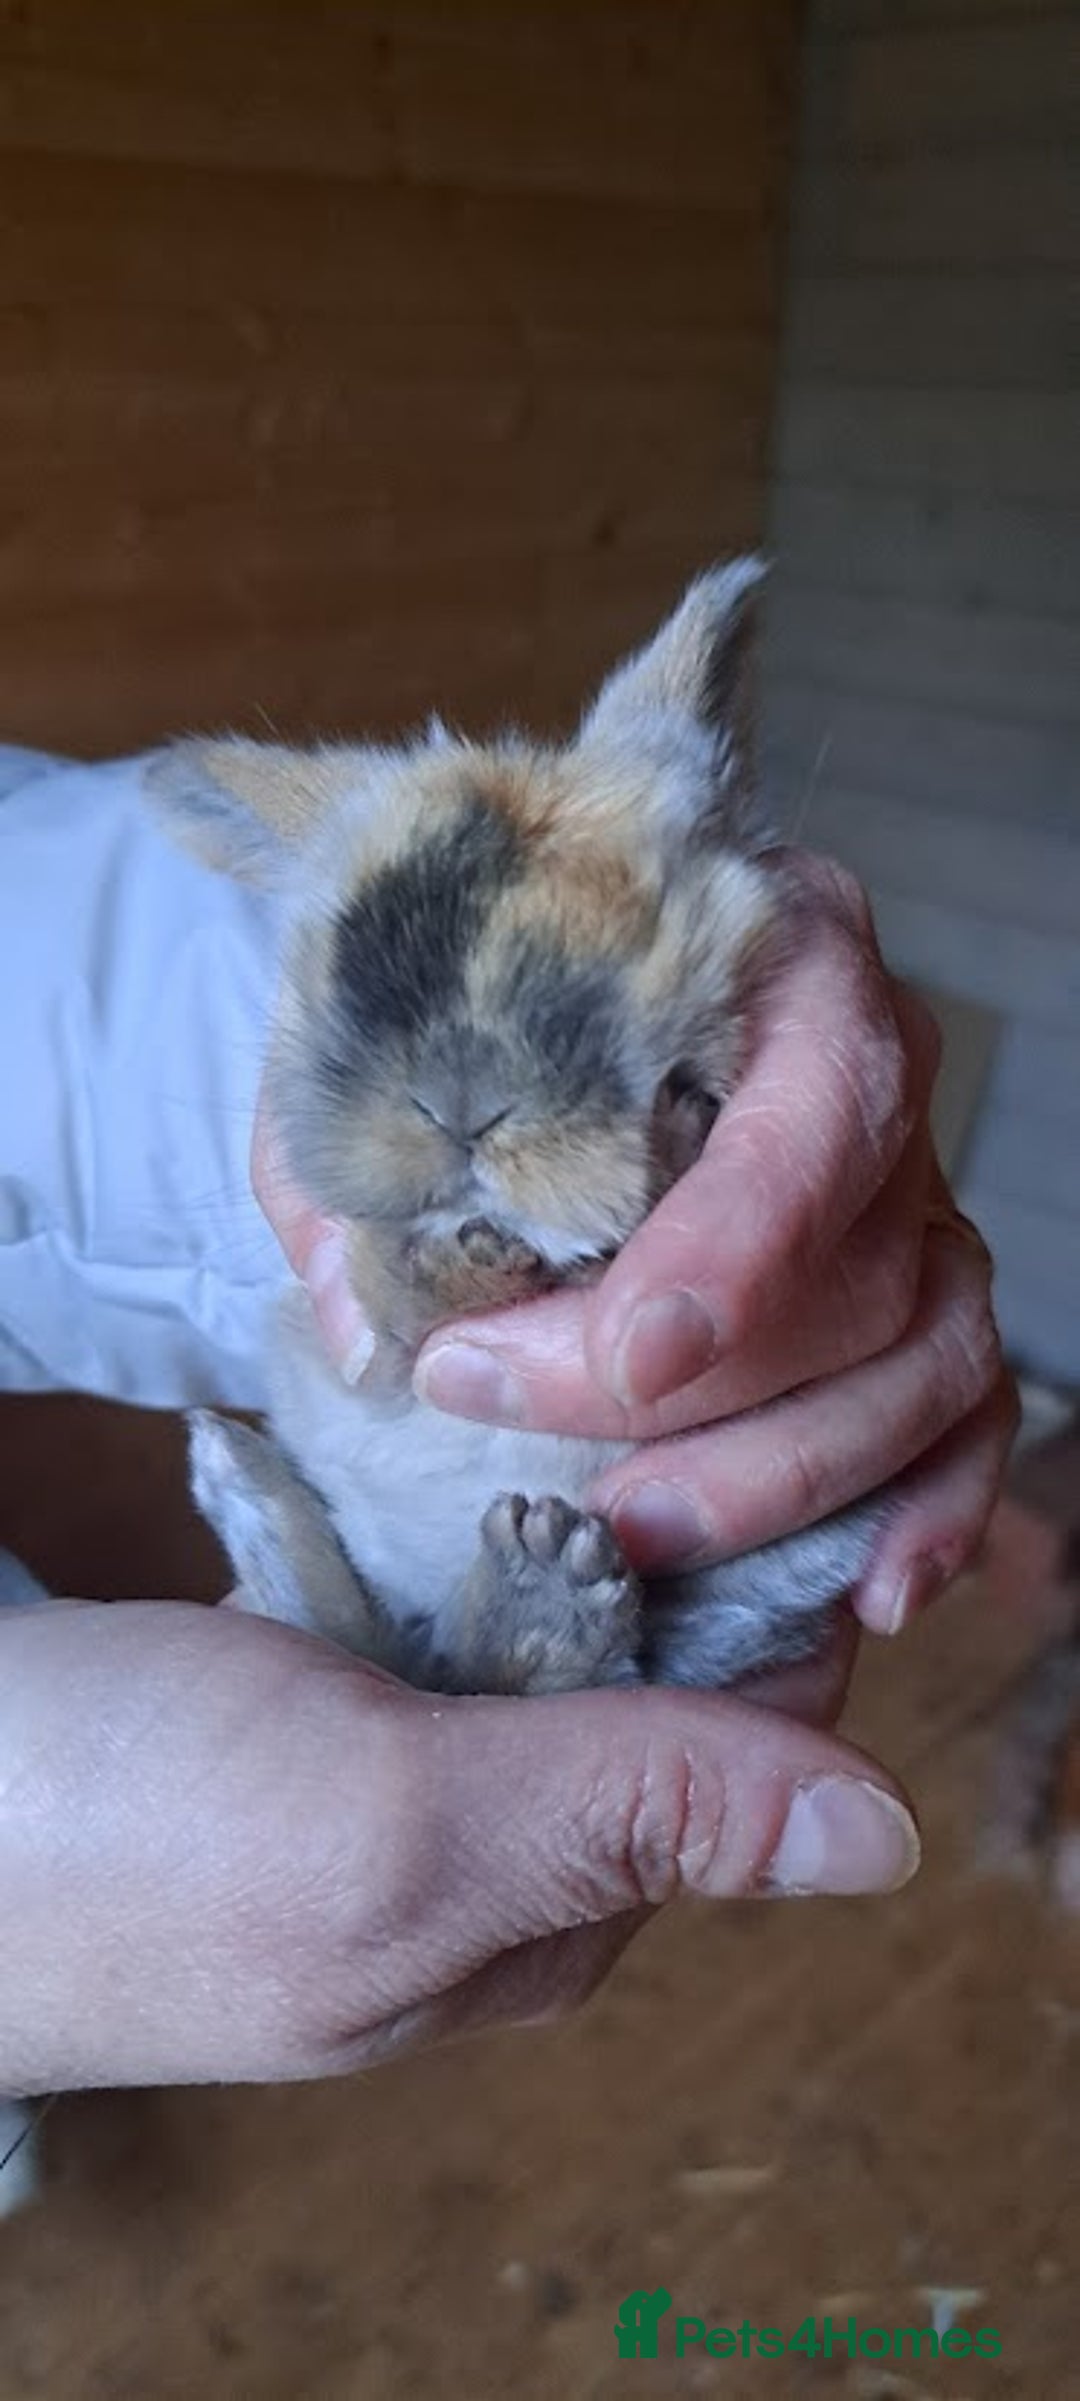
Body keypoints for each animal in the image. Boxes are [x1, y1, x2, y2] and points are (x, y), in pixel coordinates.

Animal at [146, 561, 885, 1698]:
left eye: (647, 921)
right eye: (345, 957)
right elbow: (394, 1309)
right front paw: (469, 1254)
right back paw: (246, 1477)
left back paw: (540, 1582)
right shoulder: (364, 1353)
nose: (463, 1104)